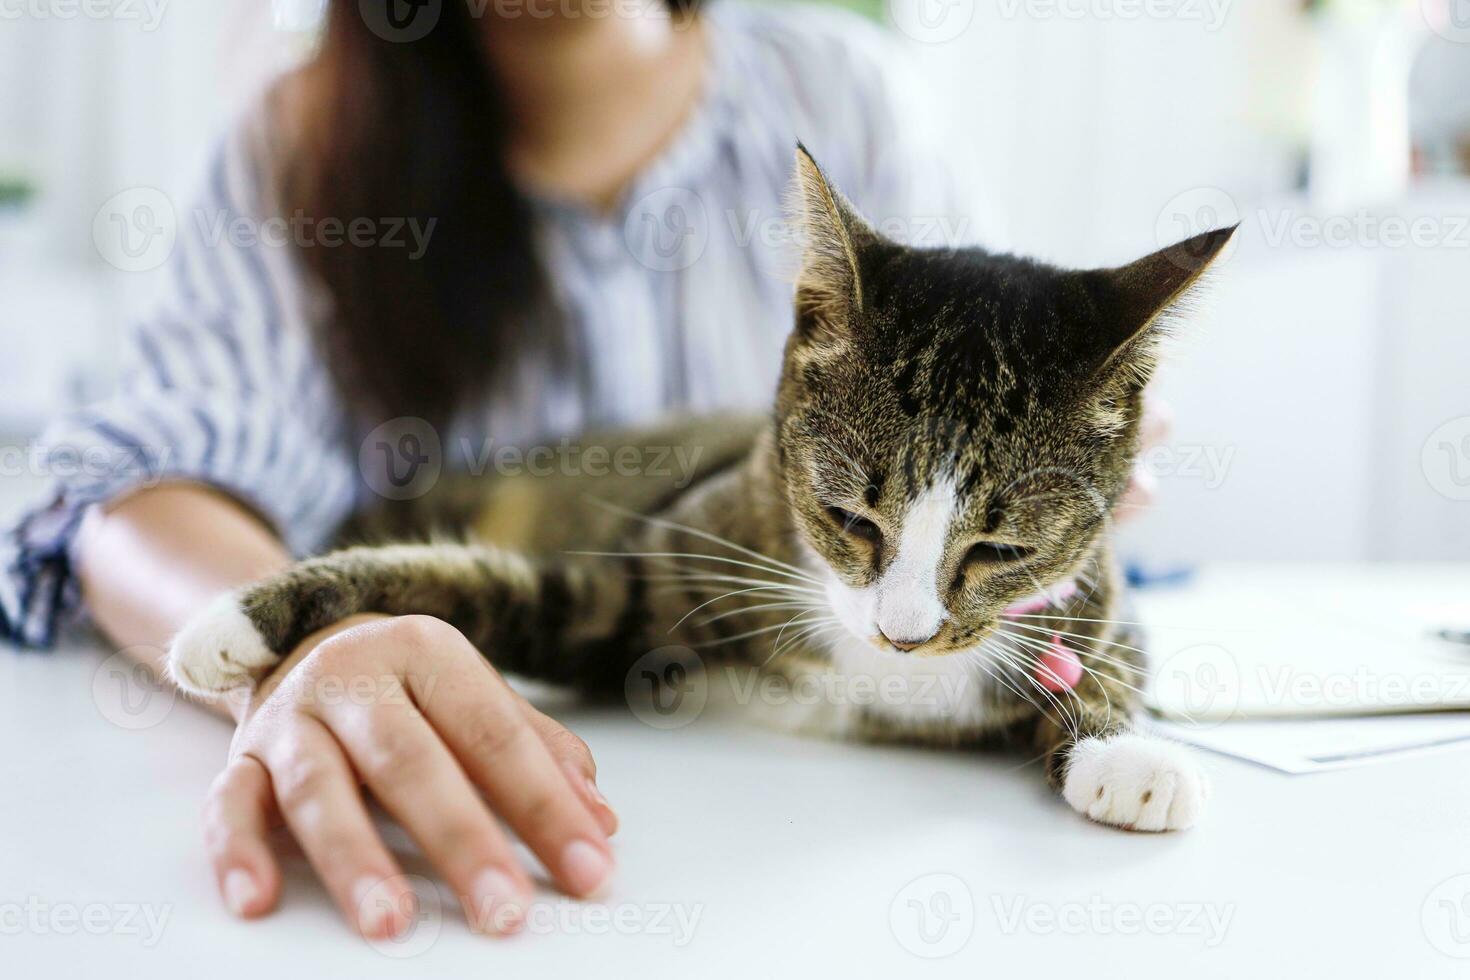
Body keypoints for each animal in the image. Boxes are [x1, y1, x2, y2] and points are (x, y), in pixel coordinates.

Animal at [169, 147, 1228, 834]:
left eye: (1002, 551)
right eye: (850, 519)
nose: (904, 635)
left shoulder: (1095, 594)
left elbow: (1112, 656)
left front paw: (1125, 751)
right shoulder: (640, 579)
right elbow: (481, 586)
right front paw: (239, 621)